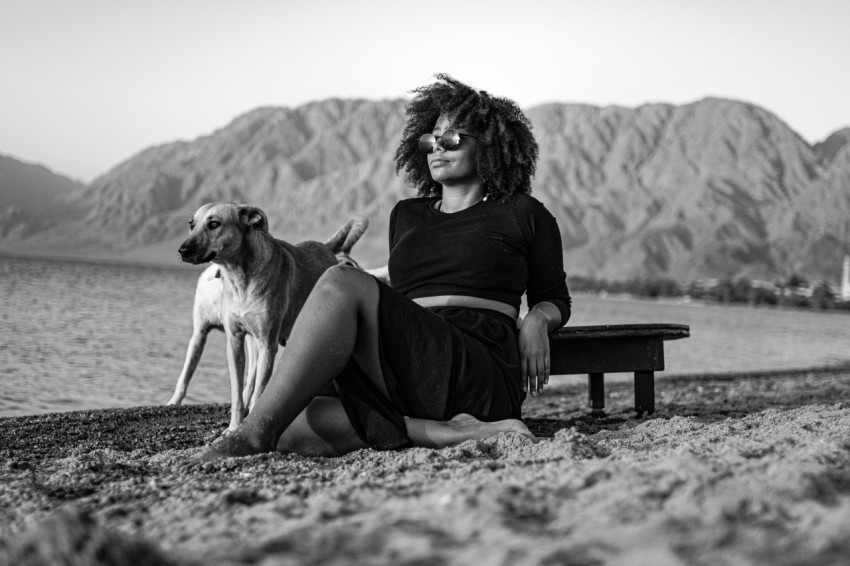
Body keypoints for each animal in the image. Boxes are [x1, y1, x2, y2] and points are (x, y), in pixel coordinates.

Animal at [176, 204, 368, 430]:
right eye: (191, 224)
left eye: (214, 224)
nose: (182, 251)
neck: (240, 277)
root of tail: (325, 247)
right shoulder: (235, 341)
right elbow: (237, 394)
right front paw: (233, 427)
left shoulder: (267, 344)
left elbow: (260, 393)